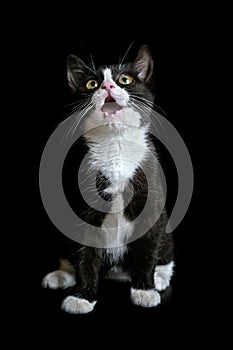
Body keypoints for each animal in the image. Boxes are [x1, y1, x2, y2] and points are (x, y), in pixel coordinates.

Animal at [41, 44, 174, 314]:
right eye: (91, 83)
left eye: (125, 80)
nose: (107, 86)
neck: (115, 146)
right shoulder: (80, 208)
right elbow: (84, 255)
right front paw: (82, 296)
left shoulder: (153, 202)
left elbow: (148, 251)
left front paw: (144, 290)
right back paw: (61, 275)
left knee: (164, 251)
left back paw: (160, 277)